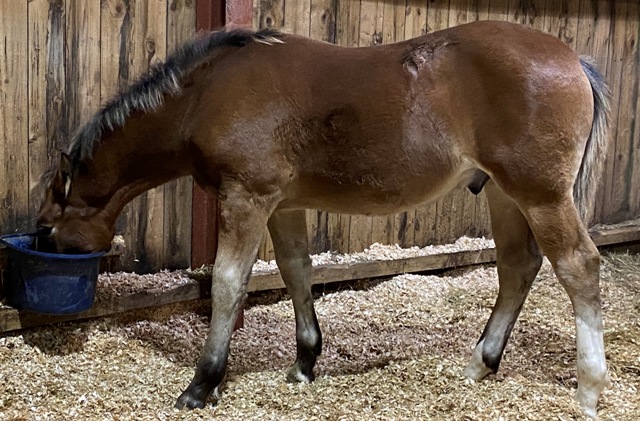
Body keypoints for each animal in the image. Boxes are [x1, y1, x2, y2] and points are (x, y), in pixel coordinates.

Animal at [36, 20, 608, 416]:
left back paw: (589, 389)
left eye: (45, 229)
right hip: (504, 194)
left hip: (541, 195)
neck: (204, 94)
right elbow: (297, 273)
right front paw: (304, 363)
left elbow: (227, 282)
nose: (54, 327)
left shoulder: (246, 197)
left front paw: (203, 384)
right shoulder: (283, 205)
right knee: (517, 267)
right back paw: (478, 364)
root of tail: (574, 59)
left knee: (579, 266)